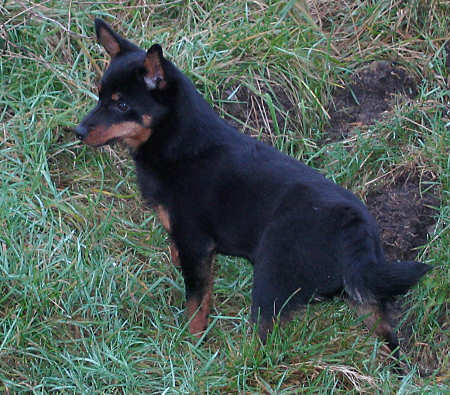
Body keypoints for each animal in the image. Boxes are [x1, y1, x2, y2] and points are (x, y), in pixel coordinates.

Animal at [74, 20, 432, 358]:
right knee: (386, 331)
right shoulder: (186, 242)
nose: (77, 131)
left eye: (122, 106)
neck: (176, 142)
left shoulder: (196, 244)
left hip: (269, 281)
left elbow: (196, 304)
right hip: (363, 291)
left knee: (263, 340)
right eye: (100, 95)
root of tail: (353, 225)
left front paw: (191, 346)